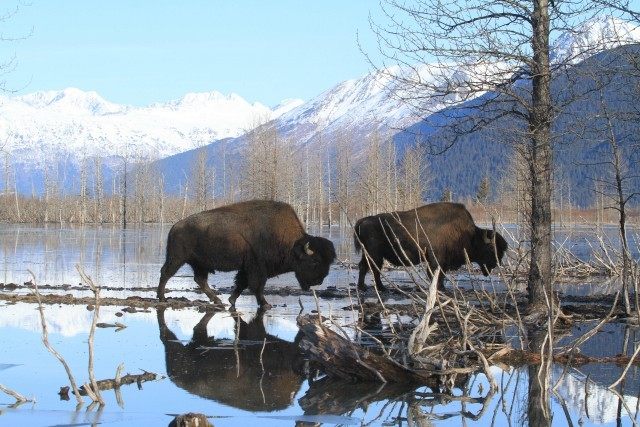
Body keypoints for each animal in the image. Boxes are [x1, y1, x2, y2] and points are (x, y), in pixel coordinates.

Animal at [158, 200, 336, 308]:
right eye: (314, 261)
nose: (319, 281)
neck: (292, 245)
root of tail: (175, 226)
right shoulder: (257, 268)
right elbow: (257, 286)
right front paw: (265, 304)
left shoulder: (247, 268)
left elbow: (241, 284)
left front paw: (231, 300)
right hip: (177, 258)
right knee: (166, 273)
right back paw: (161, 297)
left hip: (200, 264)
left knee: (200, 280)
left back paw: (218, 300)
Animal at [354, 202, 508, 291]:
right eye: (491, 248)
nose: (496, 264)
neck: (469, 235)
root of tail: (363, 220)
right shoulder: (436, 259)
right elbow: (435, 274)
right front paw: (439, 288)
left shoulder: (443, 261)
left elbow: (441, 274)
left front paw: (442, 287)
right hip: (374, 255)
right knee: (372, 269)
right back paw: (374, 288)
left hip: (370, 254)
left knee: (366, 267)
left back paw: (369, 287)